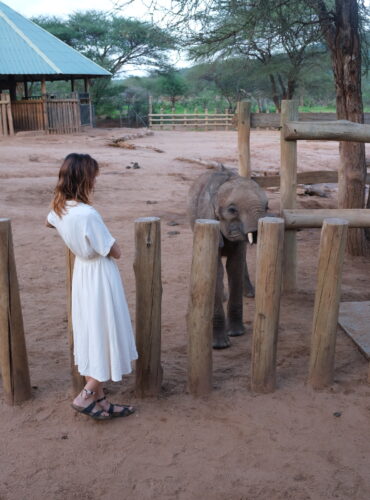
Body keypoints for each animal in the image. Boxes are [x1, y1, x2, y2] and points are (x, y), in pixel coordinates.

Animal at [189, 167, 268, 348]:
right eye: (232, 210)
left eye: (267, 206)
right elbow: (216, 270)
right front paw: (220, 345)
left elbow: (235, 266)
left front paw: (237, 333)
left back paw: (250, 293)